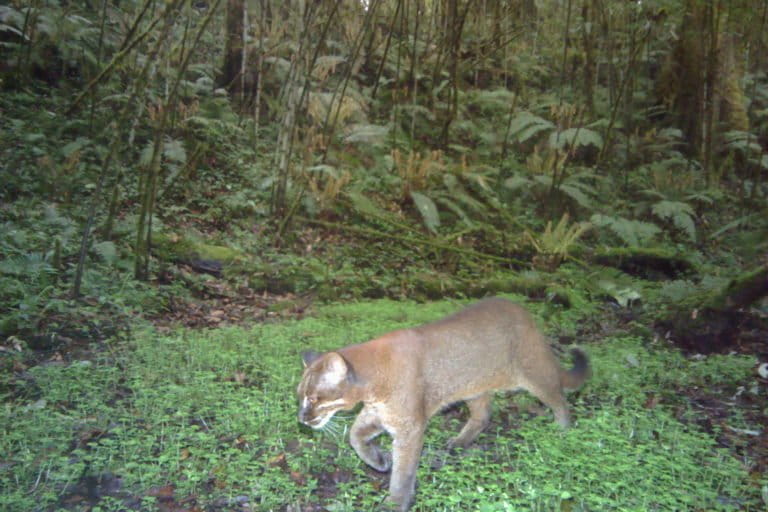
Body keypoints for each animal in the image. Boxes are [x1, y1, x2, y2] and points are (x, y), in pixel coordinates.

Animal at [296, 298, 592, 510]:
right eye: (300, 395)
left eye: (314, 398)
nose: (302, 417)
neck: (374, 384)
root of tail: (524, 312)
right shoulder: (380, 414)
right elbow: (355, 437)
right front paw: (378, 461)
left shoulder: (409, 427)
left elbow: (403, 472)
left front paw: (395, 502)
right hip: (473, 386)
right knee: (484, 414)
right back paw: (459, 443)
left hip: (533, 371)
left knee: (560, 400)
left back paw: (562, 432)